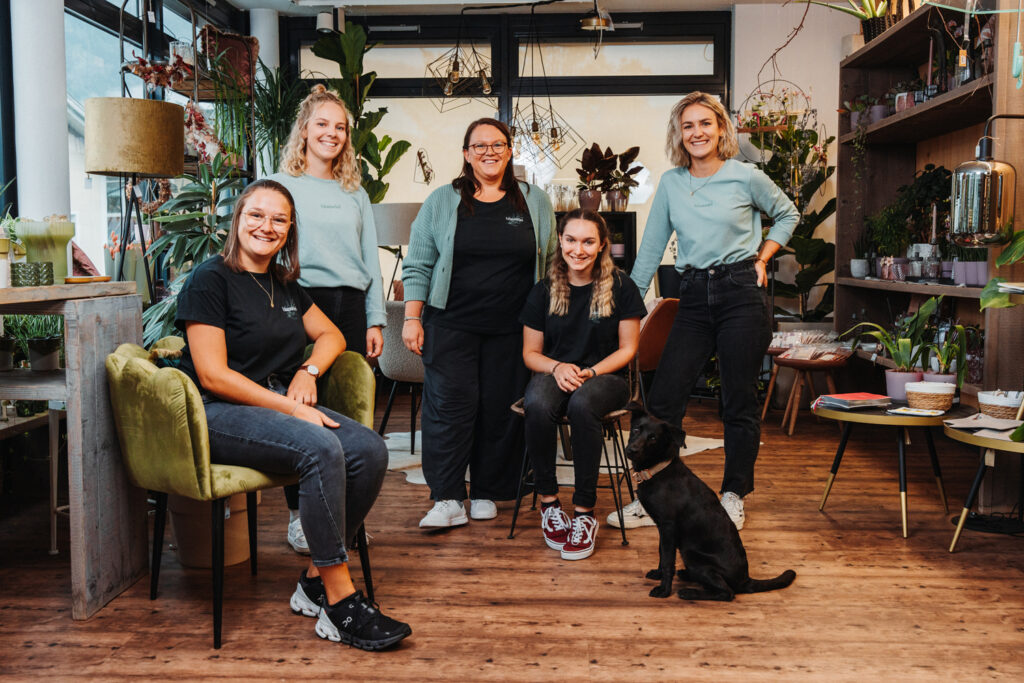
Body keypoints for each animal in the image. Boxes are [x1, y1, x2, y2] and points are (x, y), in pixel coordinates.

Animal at [626, 409, 794, 602]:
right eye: (636, 429)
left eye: (653, 438)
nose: (631, 450)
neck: (658, 470)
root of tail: (745, 580)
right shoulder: (663, 529)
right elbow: (662, 553)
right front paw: (658, 574)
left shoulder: (668, 527)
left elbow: (668, 560)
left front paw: (664, 590)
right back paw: (686, 575)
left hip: (691, 554)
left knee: (727, 593)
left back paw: (689, 592)